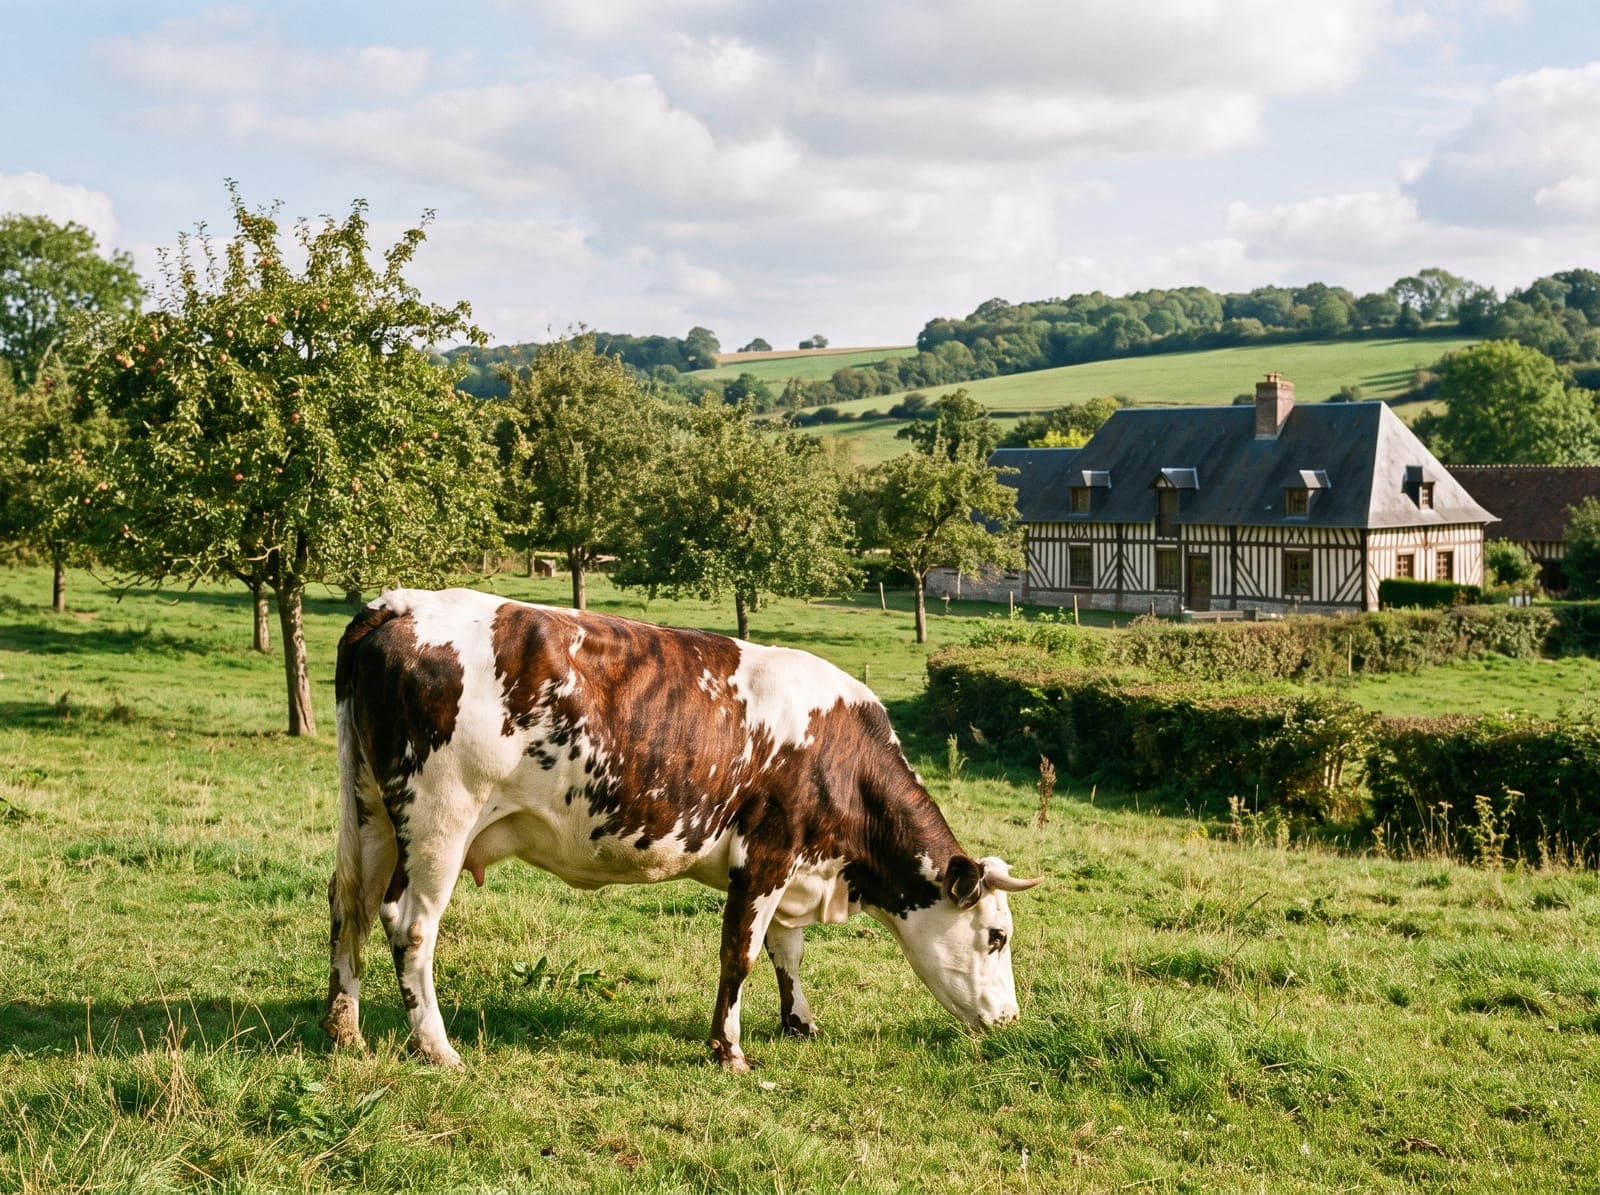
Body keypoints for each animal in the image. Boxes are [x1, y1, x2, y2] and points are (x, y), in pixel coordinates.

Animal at [321, 587, 1039, 1071]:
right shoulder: (768, 852)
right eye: (997, 936)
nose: (1010, 1018)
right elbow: (742, 952)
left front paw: (799, 1022)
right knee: (409, 921)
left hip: (370, 812)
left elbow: (787, 952)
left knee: (348, 902)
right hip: (439, 816)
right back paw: (437, 1047)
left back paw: (344, 1028)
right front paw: (729, 1050)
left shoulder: (795, 867)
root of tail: (398, 604)